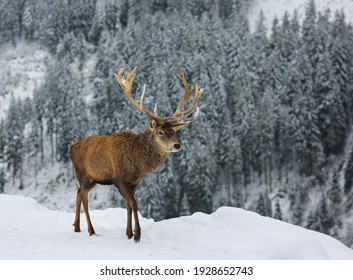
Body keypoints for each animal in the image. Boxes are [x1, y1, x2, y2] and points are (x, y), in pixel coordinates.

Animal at [69, 64, 201, 242]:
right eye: (161, 132)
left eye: (174, 132)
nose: (177, 145)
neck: (138, 164)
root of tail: (71, 148)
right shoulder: (119, 179)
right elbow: (134, 204)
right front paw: (137, 234)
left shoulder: (135, 182)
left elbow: (128, 205)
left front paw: (128, 233)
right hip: (82, 172)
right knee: (84, 197)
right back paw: (91, 229)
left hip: (94, 178)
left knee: (78, 193)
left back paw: (76, 227)